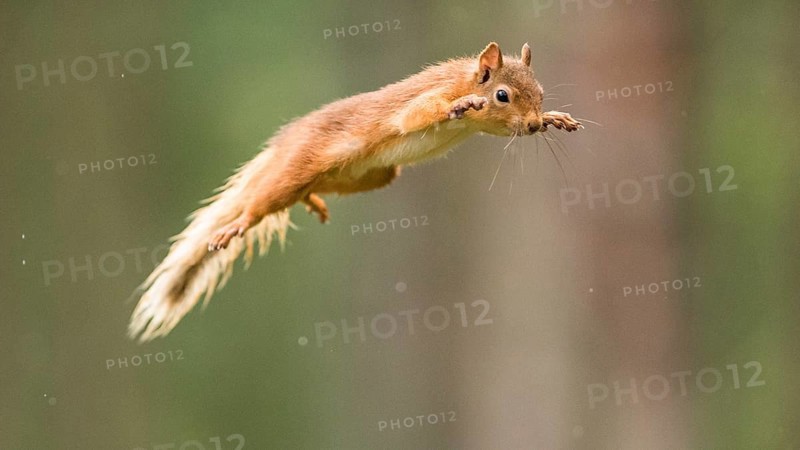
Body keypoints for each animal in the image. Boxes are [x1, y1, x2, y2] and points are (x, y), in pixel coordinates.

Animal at [128, 41, 581, 342]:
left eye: (541, 93)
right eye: (502, 95)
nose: (534, 124)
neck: (464, 79)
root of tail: (283, 144)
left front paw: (556, 118)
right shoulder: (424, 101)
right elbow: (419, 113)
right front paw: (462, 106)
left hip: (369, 176)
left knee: (311, 189)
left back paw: (311, 201)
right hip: (296, 169)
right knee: (263, 202)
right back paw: (238, 223)